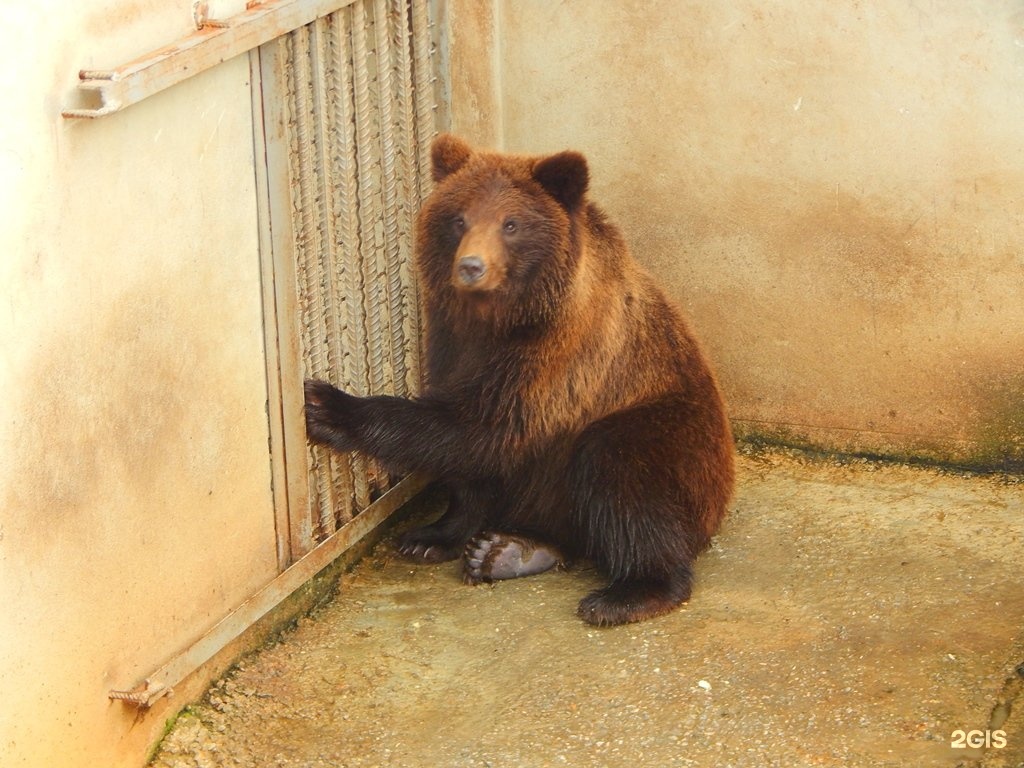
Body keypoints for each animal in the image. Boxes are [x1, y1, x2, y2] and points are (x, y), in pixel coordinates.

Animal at [303, 132, 737, 626]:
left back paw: (627, 593)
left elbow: (485, 426)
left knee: (619, 469)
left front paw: (328, 405)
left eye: (511, 224)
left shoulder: (557, 355)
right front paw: (432, 535)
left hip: (671, 434)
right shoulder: (451, 340)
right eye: (459, 218)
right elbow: (471, 463)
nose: (471, 266)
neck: (500, 320)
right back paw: (506, 551)